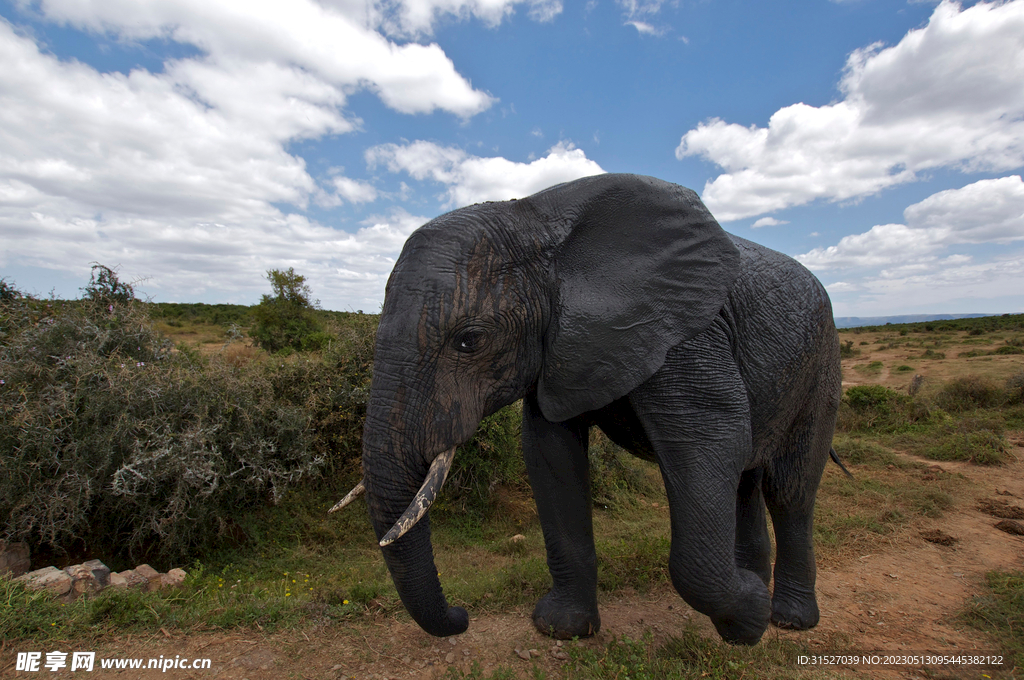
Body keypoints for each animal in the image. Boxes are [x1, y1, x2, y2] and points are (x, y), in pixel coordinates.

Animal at [331, 173, 843, 647]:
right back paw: (756, 583)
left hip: (823, 364)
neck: (536, 221)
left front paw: (750, 621)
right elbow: (550, 456)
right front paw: (563, 629)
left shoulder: (689, 332)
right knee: (746, 482)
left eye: (469, 340)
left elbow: (709, 443)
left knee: (789, 490)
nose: (461, 615)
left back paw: (788, 619)